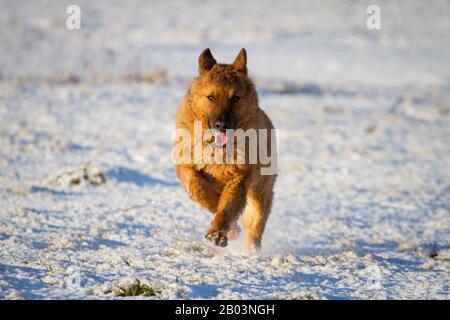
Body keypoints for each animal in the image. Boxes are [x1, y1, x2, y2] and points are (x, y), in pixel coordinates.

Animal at [174, 48, 276, 250]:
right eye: (210, 97)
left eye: (235, 98)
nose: (222, 125)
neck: (216, 150)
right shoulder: (185, 166)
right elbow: (199, 189)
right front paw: (226, 228)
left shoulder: (239, 178)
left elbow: (227, 209)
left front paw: (217, 234)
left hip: (260, 192)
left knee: (256, 224)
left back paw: (251, 250)